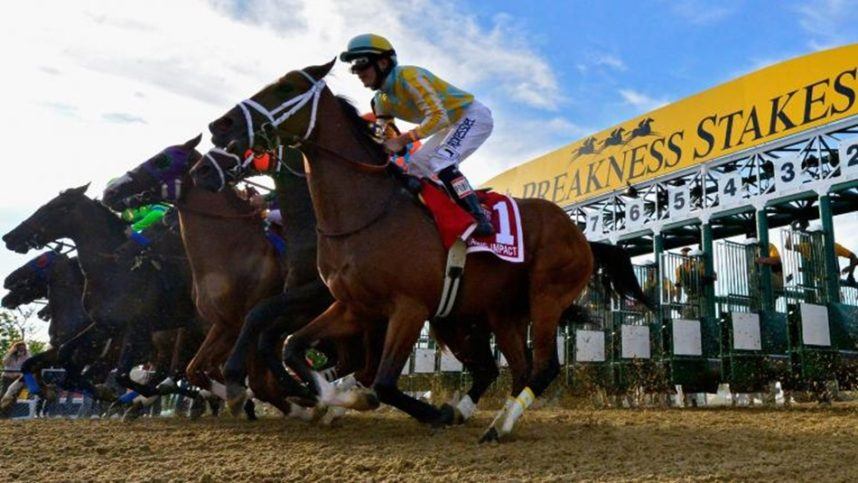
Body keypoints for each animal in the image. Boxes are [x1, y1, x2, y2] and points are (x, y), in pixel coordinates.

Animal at [202, 60, 640, 442]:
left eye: (286, 87)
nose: (219, 126)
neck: (366, 211)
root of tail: (581, 235)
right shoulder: (354, 306)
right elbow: (296, 347)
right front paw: (326, 398)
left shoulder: (408, 307)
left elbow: (381, 383)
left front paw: (419, 410)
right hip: (498, 314)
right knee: (513, 369)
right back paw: (487, 417)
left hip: (545, 296)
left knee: (543, 366)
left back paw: (494, 425)